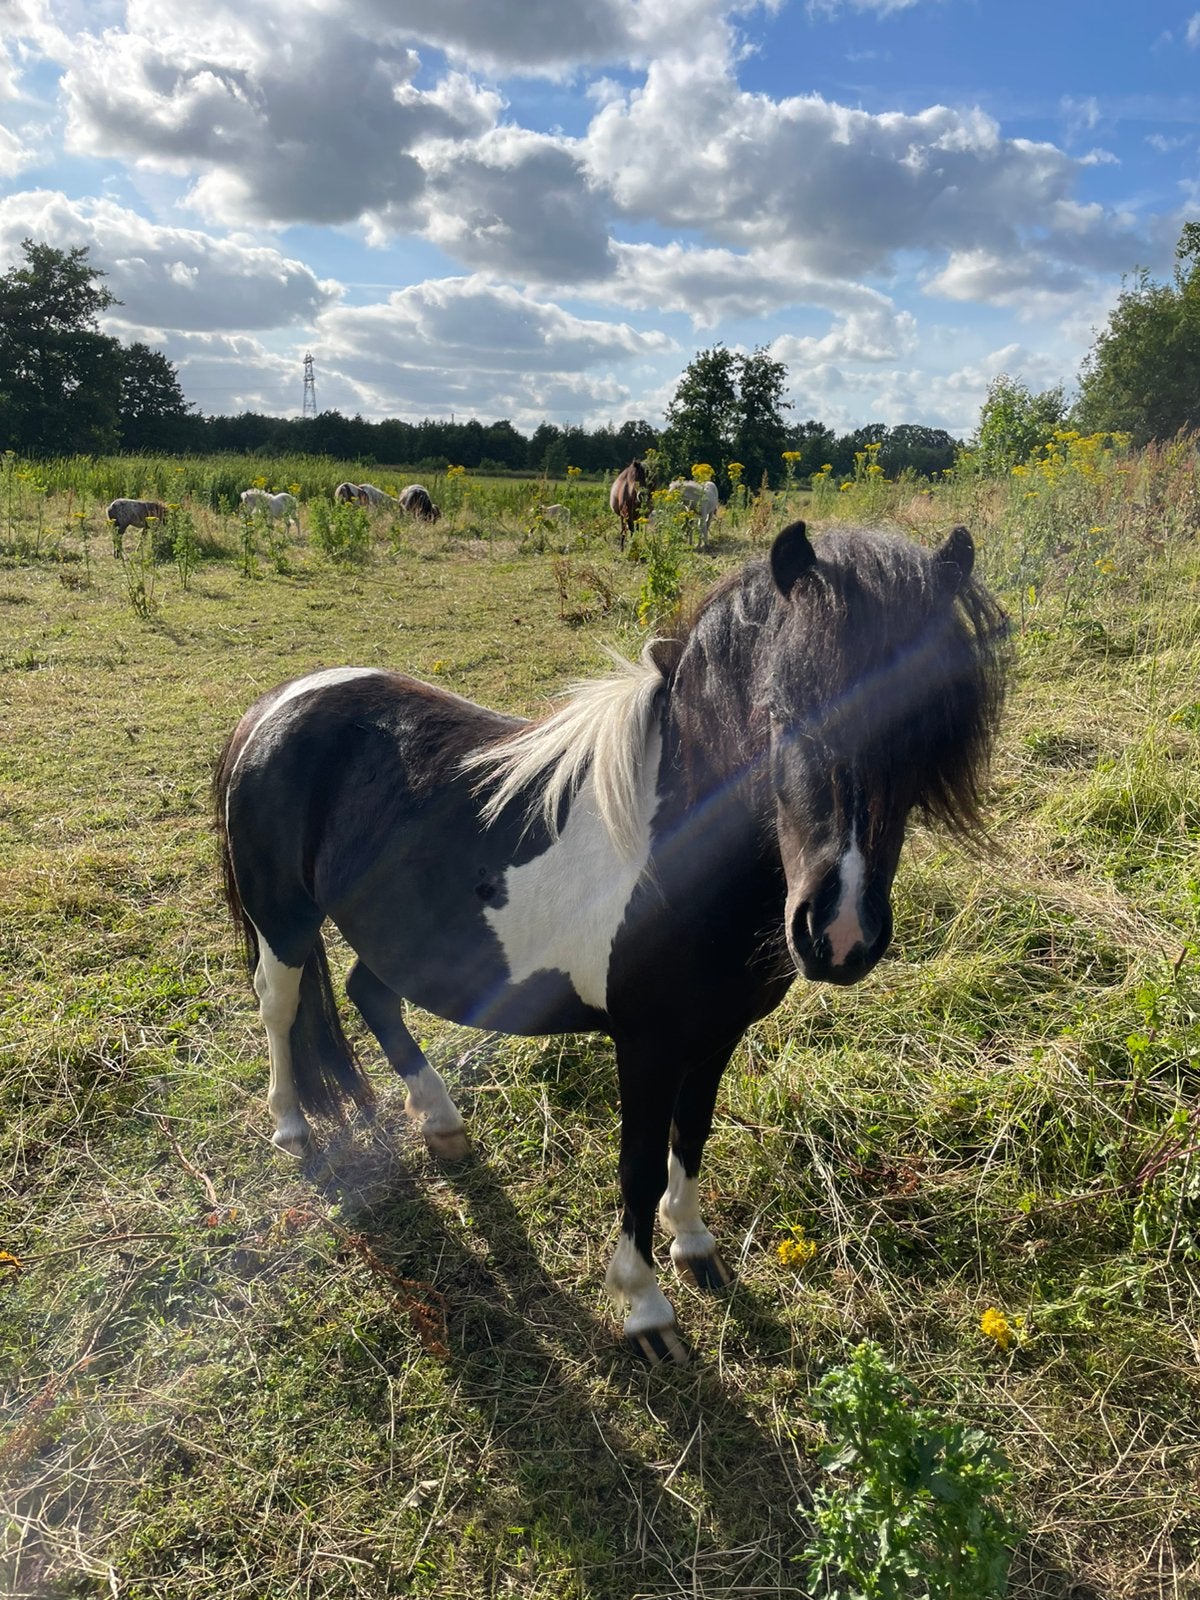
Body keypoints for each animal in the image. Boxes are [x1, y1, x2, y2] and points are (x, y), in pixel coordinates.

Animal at [214, 521, 1007, 1363]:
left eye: (926, 723)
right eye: (783, 709)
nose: (840, 932)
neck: (679, 850)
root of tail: (274, 705)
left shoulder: (718, 1033)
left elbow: (692, 1135)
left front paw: (694, 1244)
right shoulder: (647, 1043)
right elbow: (639, 1165)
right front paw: (646, 1307)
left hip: (400, 936)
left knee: (370, 992)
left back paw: (441, 1123)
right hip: (283, 921)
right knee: (278, 1006)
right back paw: (293, 1127)